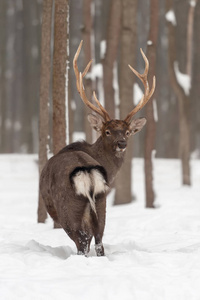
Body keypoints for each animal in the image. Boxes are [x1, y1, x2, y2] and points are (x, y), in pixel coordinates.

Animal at [39, 39, 155, 255]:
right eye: (107, 131)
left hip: (68, 206)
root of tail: (87, 172)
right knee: (99, 240)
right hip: (101, 202)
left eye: (127, 132)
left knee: (82, 242)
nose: (122, 143)